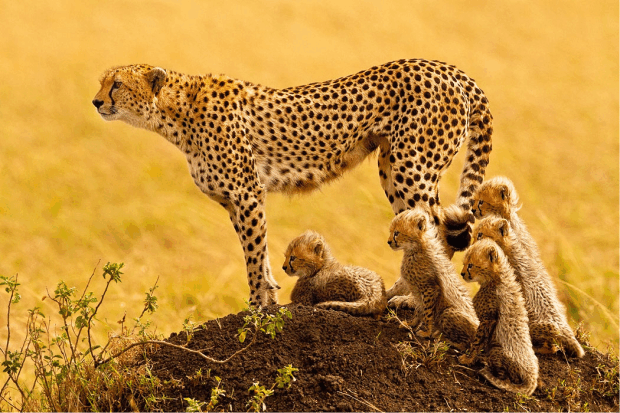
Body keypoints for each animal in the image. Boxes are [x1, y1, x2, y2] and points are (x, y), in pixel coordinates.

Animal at [92, 58, 492, 304]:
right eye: (102, 82)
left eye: (117, 84)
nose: (95, 102)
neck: (176, 112)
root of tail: (445, 67)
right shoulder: (236, 200)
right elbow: (258, 253)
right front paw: (268, 295)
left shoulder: (247, 193)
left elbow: (254, 253)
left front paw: (257, 305)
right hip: (392, 165)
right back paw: (397, 291)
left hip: (411, 166)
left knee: (435, 229)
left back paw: (408, 296)